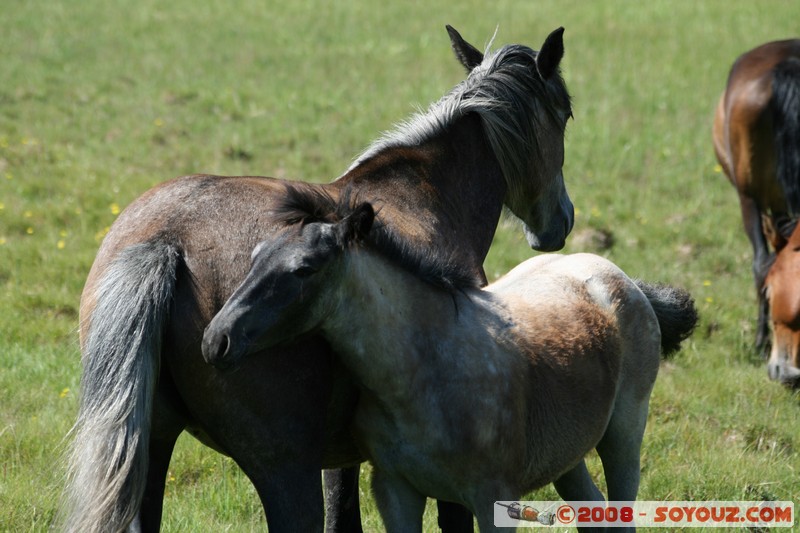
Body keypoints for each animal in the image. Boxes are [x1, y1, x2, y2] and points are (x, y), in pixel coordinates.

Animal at [59, 25, 575, 532]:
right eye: (567, 114)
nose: (562, 221)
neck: (422, 196)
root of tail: (165, 241)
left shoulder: (342, 453)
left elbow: (341, 515)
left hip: (155, 447)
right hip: (283, 470)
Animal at [202, 187, 698, 532]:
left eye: (304, 269)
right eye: (255, 256)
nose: (215, 340)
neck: (423, 377)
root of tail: (621, 278)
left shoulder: (493, 498)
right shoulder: (396, 491)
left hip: (624, 433)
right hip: (567, 453)